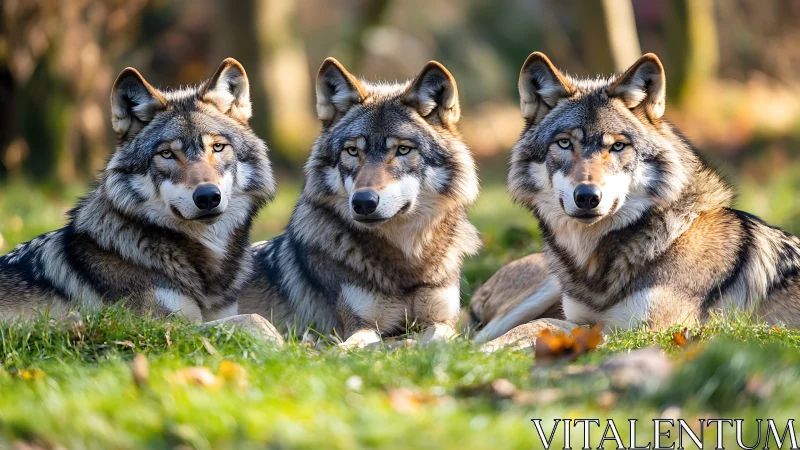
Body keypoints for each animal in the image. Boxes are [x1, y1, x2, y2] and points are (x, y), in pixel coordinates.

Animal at [239, 58, 481, 348]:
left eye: (402, 149)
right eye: (353, 151)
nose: (363, 202)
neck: (406, 263)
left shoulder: (443, 322)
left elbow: (439, 339)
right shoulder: (359, 326)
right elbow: (355, 347)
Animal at [471, 52, 800, 342]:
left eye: (617, 146)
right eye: (564, 143)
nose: (587, 197)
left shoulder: (646, 329)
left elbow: (545, 325)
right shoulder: (585, 319)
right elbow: (541, 325)